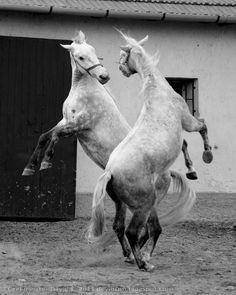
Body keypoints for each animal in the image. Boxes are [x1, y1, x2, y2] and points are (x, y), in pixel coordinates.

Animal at [87, 33, 213, 272]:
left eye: (122, 56)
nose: (120, 69)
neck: (158, 91)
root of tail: (110, 171)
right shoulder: (187, 121)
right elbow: (202, 127)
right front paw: (205, 158)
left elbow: (188, 140)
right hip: (144, 204)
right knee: (133, 231)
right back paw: (143, 263)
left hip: (127, 204)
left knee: (126, 227)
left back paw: (137, 257)